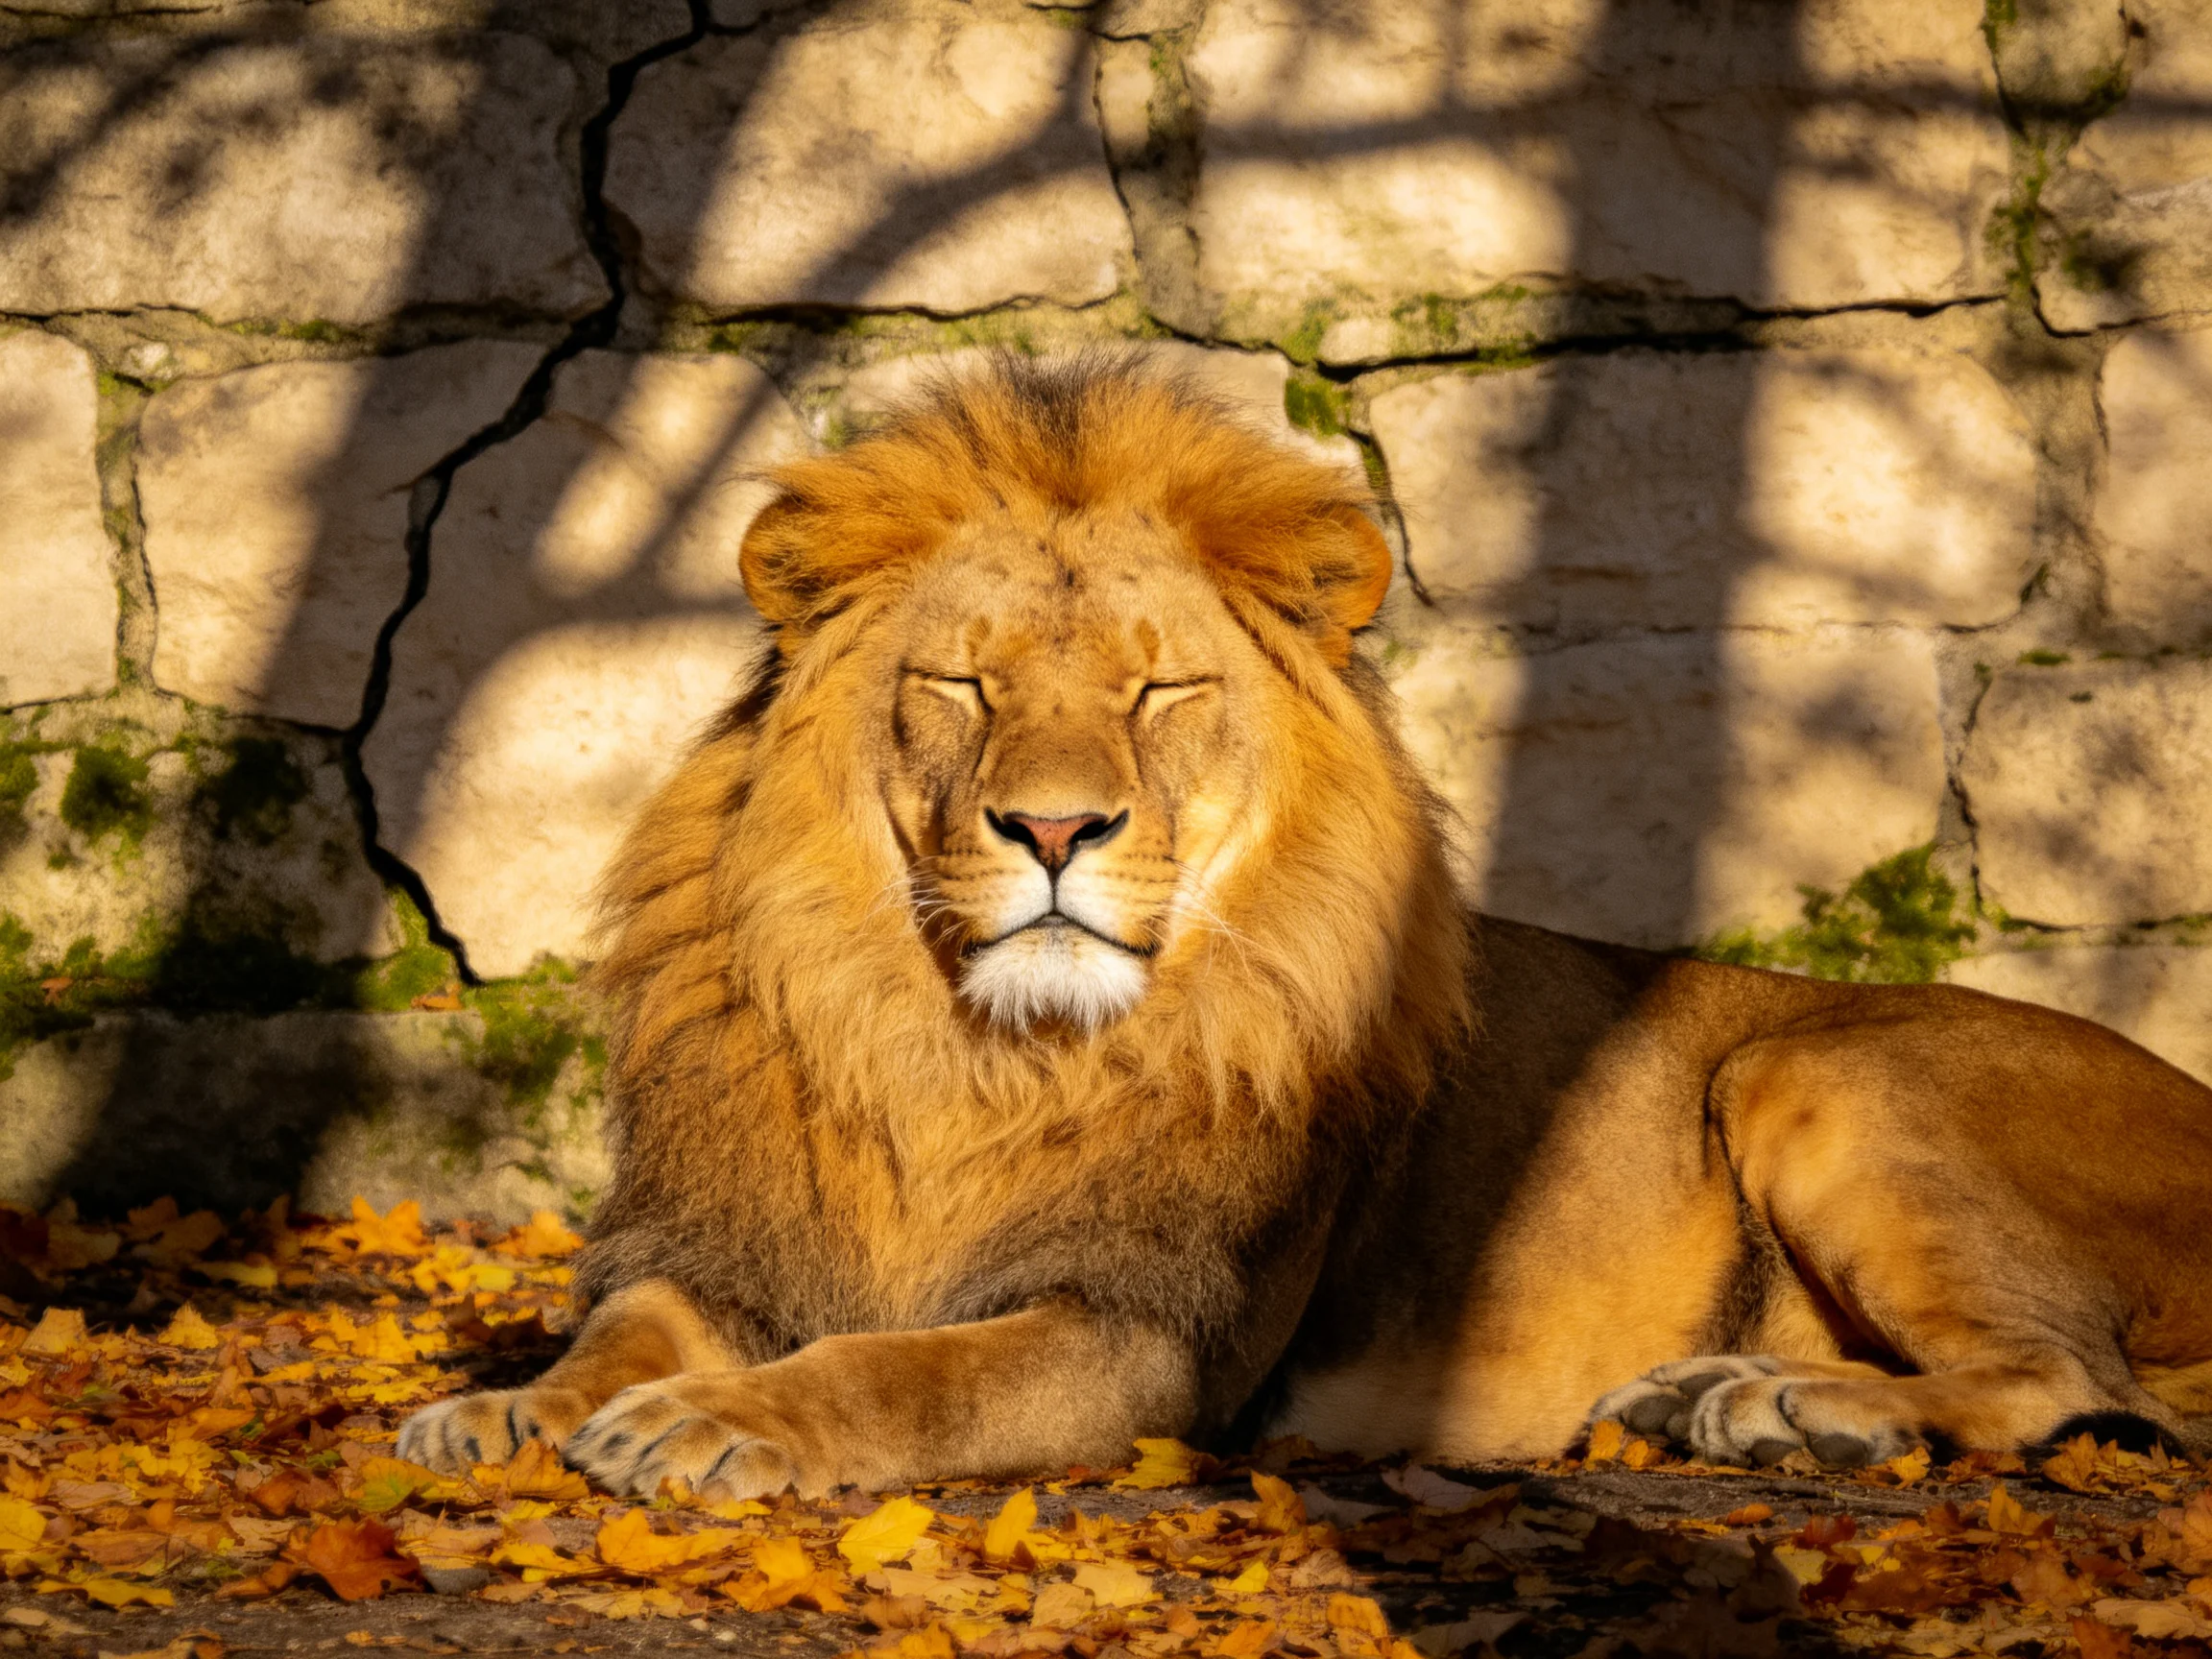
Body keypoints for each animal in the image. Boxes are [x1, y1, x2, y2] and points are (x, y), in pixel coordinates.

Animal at [399, 353, 2212, 1497]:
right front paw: (500, 1411)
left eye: (1159, 691)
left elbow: (908, 1369)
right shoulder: (716, 1241)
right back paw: (1716, 1399)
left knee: (2074, 1380)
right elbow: (614, 1332)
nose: (1051, 828)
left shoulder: (1146, 1333)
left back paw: (1792, 1408)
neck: (959, 1050)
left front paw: (707, 1428)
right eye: (963, 683)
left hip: (1809, 1071)